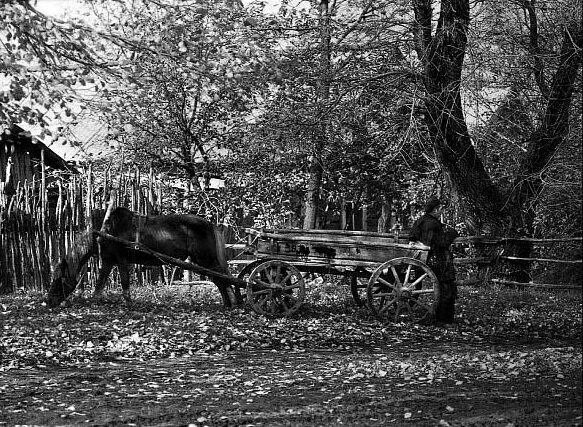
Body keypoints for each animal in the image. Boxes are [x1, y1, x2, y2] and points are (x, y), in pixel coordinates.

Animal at [45, 207, 237, 308]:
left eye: (59, 280)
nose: (48, 301)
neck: (105, 231)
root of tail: (210, 224)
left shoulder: (121, 259)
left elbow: (124, 282)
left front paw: (129, 303)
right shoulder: (108, 261)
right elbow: (100, 283)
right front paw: (95, 301)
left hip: (205, 259)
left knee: (221, 279)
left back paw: (231, 303)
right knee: (220, 279)